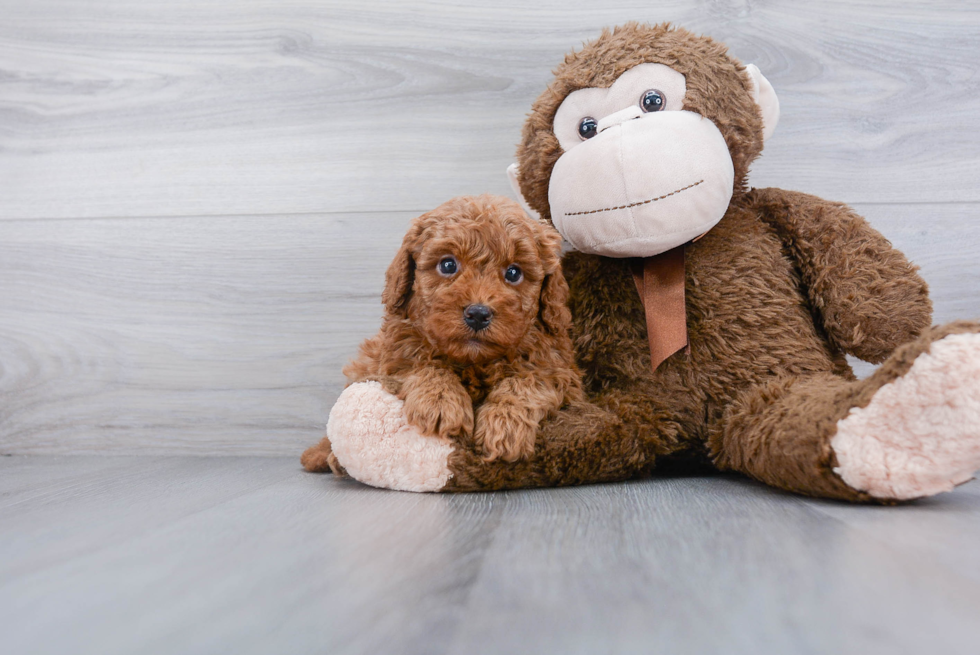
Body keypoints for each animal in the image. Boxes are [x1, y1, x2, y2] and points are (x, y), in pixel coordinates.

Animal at [300, 192, 580, 474]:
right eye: (447, 265)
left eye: (514, 273)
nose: (478, 314)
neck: (474, 361)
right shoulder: (396, 354)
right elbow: (425, 365)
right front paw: (440, 402)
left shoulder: (560, 373)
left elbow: (527, 381)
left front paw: (505, 425)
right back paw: (323, 455)